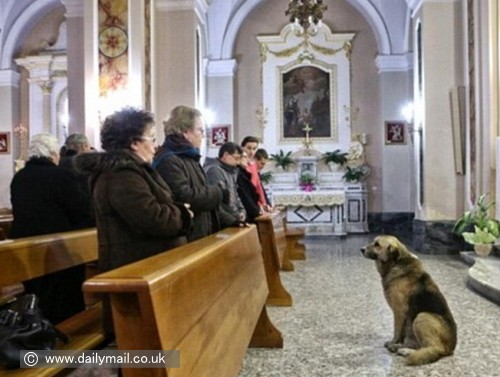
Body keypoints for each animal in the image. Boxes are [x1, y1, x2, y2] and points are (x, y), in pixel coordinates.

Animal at [362, 235, 456, 364]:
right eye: (373, 241)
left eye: (377, 245)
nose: (361, 249)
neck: (396, 263)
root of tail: (451, 348)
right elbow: (401, 333)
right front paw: (397, 344)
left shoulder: (399, 311)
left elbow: (397, 331)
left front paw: (393, 343)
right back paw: (404, 348)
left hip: (422, 316)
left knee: (434, 348)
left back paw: (406, 351)